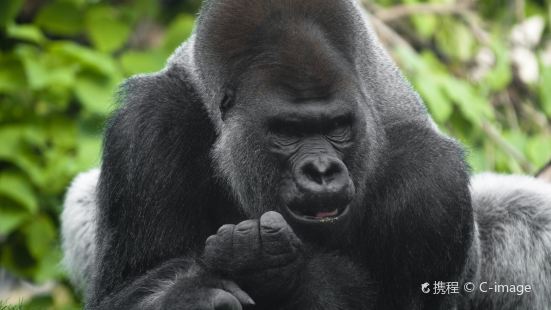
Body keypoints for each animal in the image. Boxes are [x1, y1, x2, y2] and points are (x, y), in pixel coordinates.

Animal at [60, 0, 551, 310]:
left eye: (337, 128)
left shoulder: (433, 183)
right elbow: (119, 293)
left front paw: (283, 273)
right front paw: (189, 296)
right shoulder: (145, 127)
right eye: (287, 132)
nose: (320, 170)